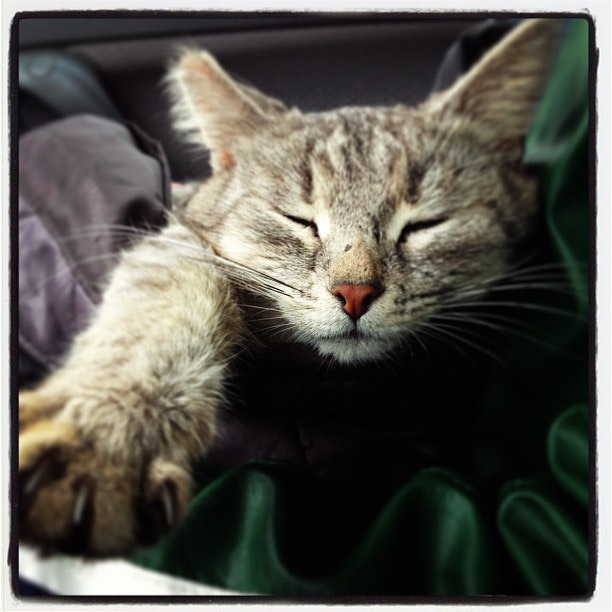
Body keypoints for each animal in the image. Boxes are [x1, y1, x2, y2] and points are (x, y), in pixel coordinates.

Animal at [19, 18, 561, 556]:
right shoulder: (176, 244)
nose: (354, 293)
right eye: (299, 220)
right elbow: (165, 303)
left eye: (424, 225)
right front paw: (109, 436)